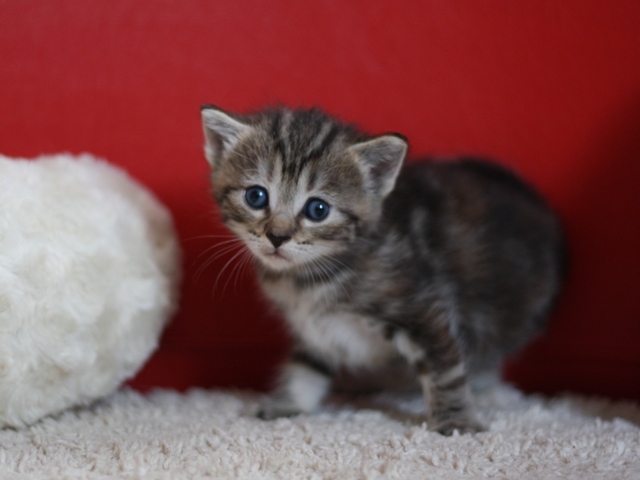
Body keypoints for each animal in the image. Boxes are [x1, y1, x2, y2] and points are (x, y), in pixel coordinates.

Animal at [200, 105, 564, 436]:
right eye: (256, 196)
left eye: (318, 209)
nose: (277, 236)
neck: (309, 279)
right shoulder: (314, 329)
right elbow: (307, 364)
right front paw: (290, 403)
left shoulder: (422, 307)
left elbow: (444, 368)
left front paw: (457, 422)